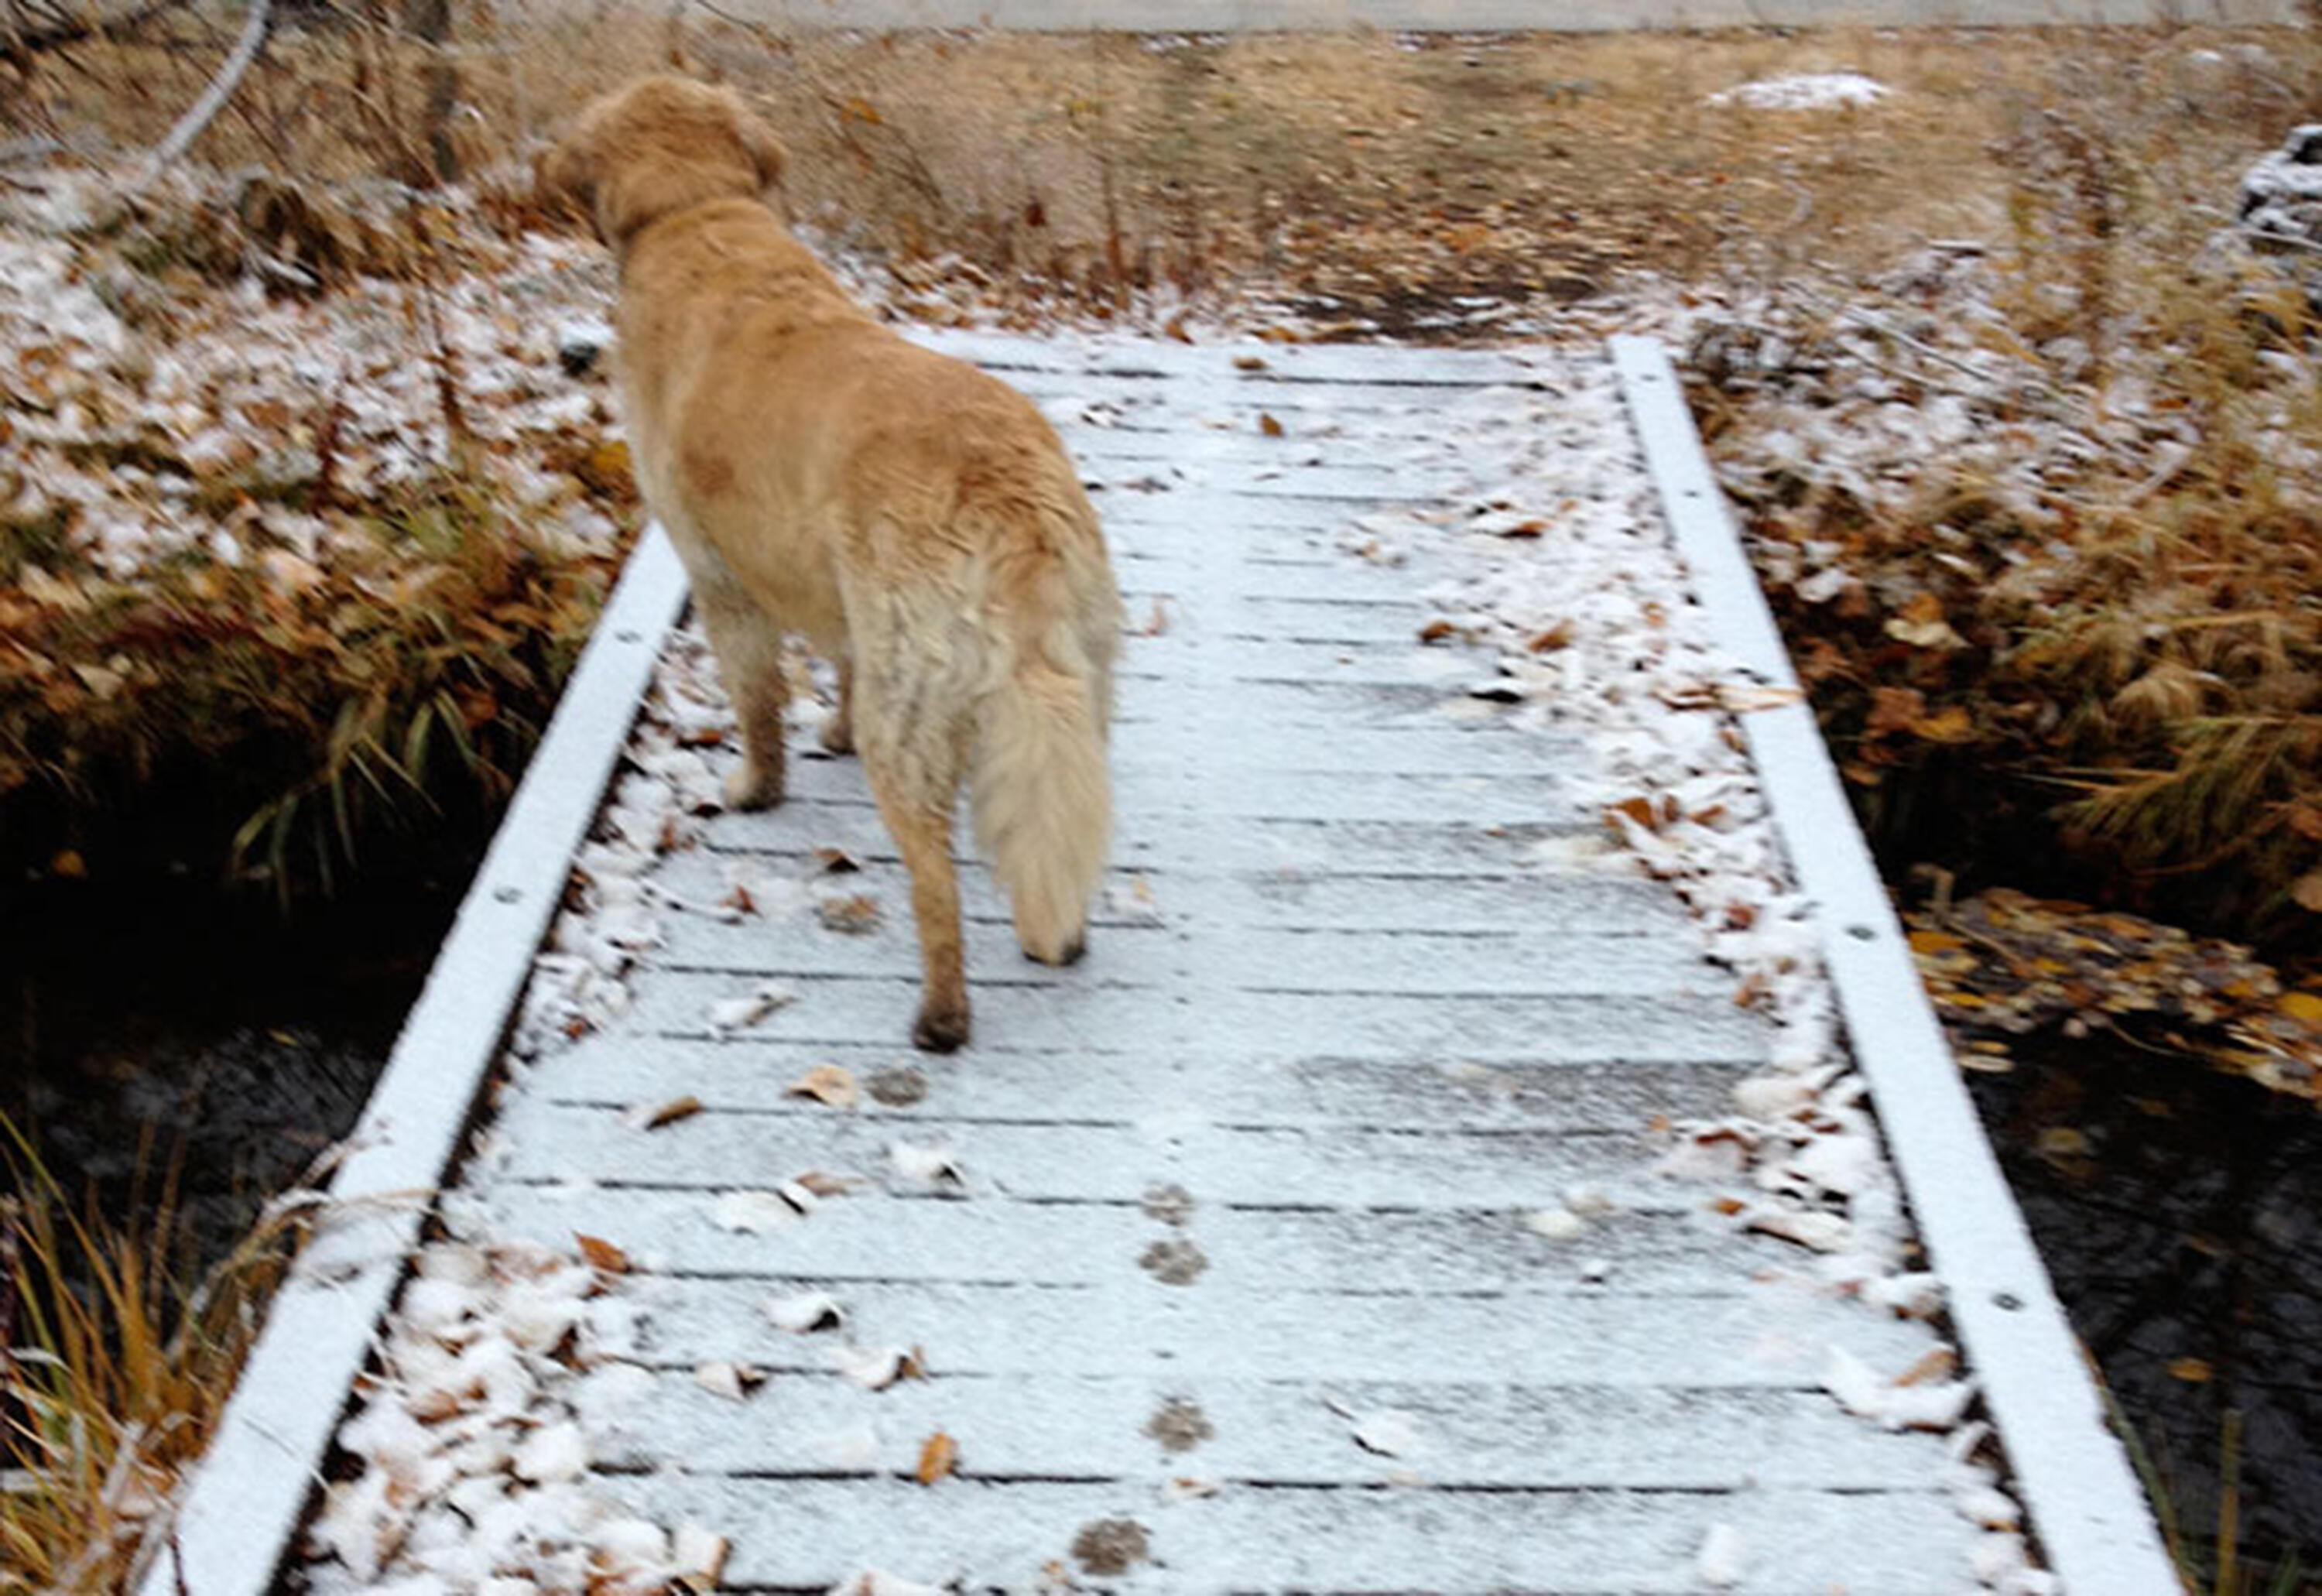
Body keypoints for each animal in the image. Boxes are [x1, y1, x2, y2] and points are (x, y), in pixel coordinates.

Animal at [543, 74, 1124, 1054]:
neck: (694, 209)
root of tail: (1010, 502)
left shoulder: (716, 574)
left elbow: (756, 700)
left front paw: (755, 786)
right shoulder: (839, 598)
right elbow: (838, 667)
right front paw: (832, 732)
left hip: (917, 725)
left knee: (936, 884)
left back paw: (940, 1017)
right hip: (1077, 684)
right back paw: (1062, 938)